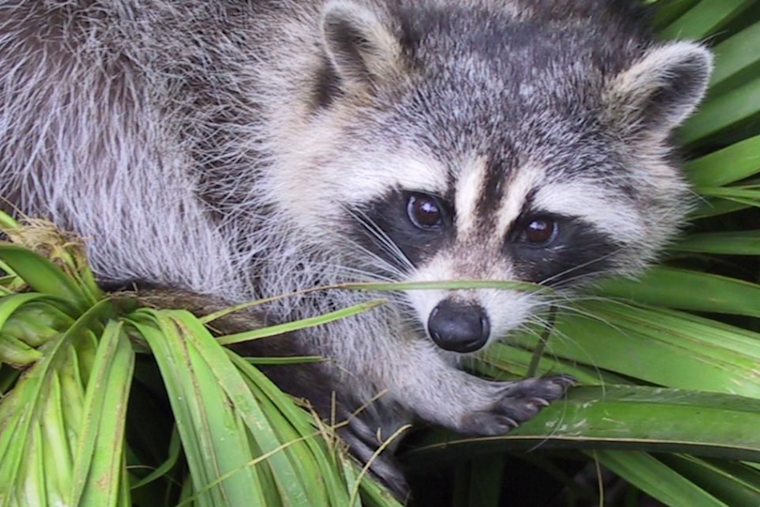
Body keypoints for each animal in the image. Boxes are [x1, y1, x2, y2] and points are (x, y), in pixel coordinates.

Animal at [0, 0, 711, 497]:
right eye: (426, 210)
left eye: (538, 229)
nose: (456, 329)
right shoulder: (210, 102)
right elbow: (289, 277)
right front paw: (420, 375)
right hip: (48, 76)